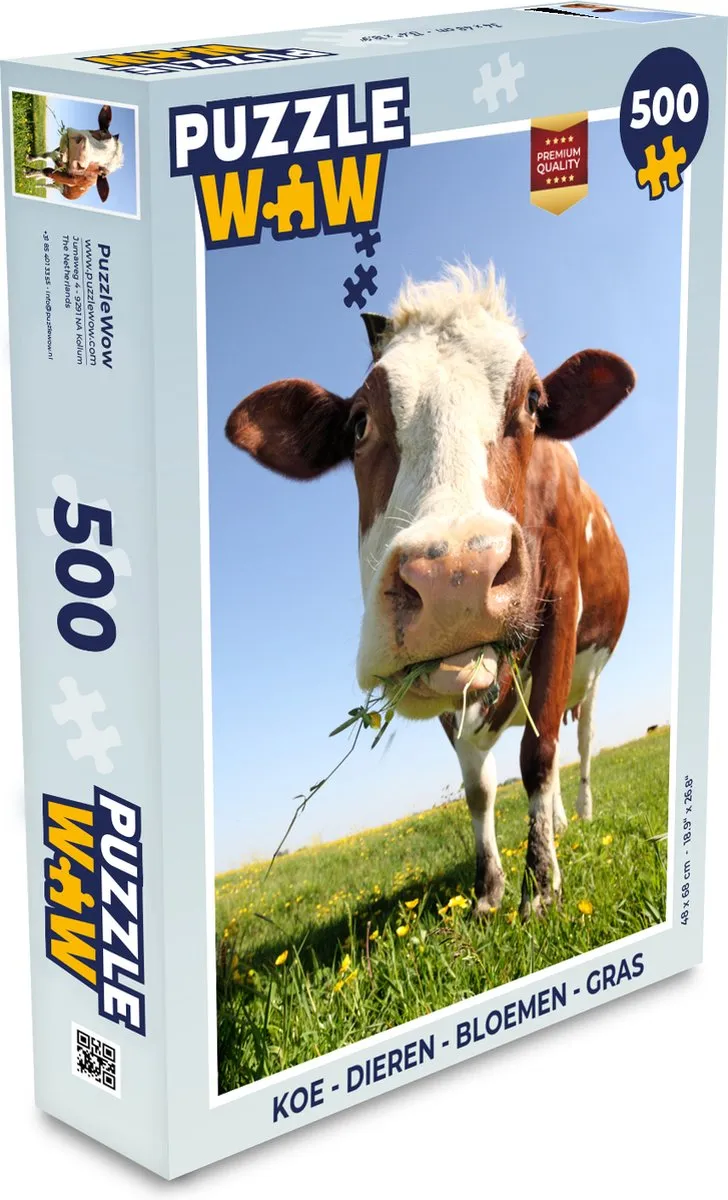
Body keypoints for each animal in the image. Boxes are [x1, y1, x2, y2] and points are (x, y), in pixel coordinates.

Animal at [225, 264, 633, 919]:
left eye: (534, 402)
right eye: (359, 423)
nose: (455, 578)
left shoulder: (561, 606)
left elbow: (539, 755)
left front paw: (541, 888)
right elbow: (478, 785)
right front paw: (490, 891)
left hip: (590, 676)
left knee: (582, 742)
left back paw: (583, 815)